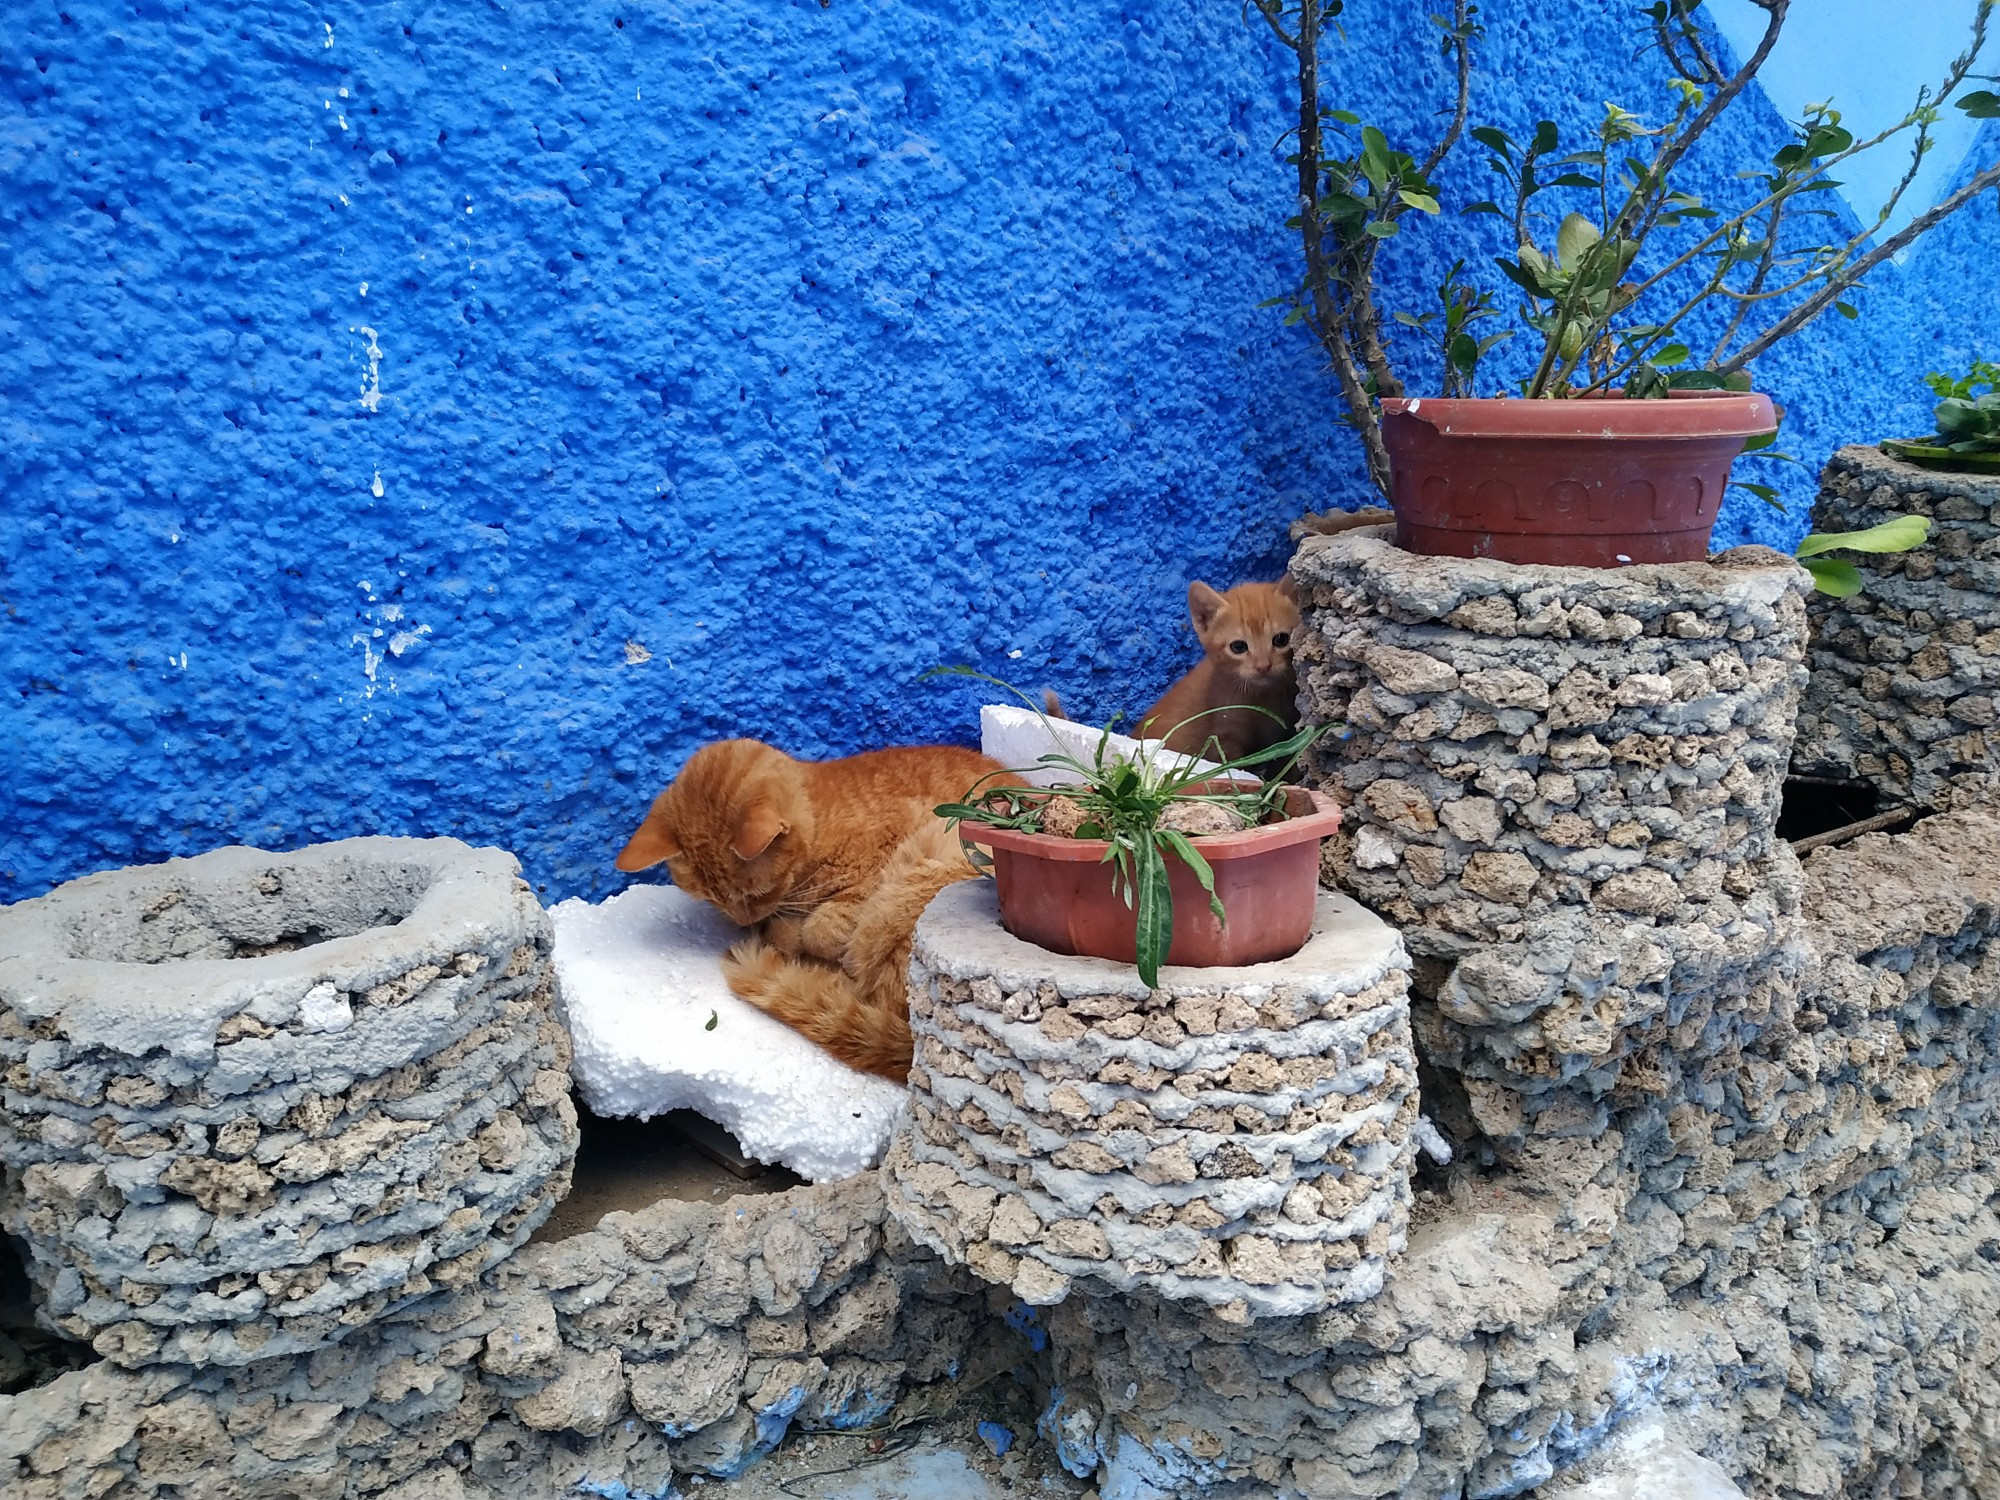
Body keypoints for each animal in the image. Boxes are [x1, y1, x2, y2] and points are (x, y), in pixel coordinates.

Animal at [612, 740, 1016, 1080]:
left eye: (756, 892)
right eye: (714, 900)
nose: (745, 920)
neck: (823, 822)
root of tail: (912, 1049)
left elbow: (822, 927)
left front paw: (806, 940)